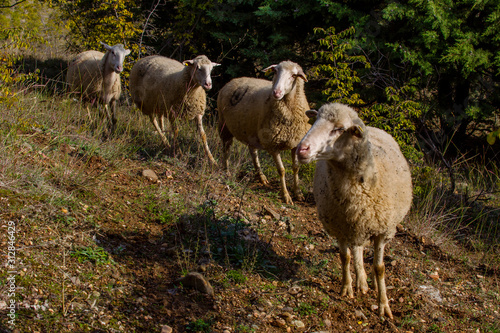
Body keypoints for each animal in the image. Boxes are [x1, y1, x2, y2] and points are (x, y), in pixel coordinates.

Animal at [217, 60, 310, 204]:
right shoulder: (273, 144)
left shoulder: (296, 142)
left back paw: (261, 176)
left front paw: (298, 193)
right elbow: (281, 170)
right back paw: (226, 171)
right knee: (226, 150)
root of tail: (232, 81)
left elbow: (296, 168)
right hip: (224, 126)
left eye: (294, 75)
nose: (276, 92)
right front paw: (286, 195)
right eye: (275, 71)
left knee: (253, 152)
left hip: (250, 131)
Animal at [294, 102, 412, 318]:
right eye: (315, 120)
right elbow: (345, 257)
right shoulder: (340, 225)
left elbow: (380, 267)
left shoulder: (381, 230)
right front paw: (346, 287)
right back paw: (361, 281)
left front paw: (384, 306)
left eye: (340, 129)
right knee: (357, 249)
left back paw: (370, 283)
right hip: (355, 224)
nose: (301, 149)